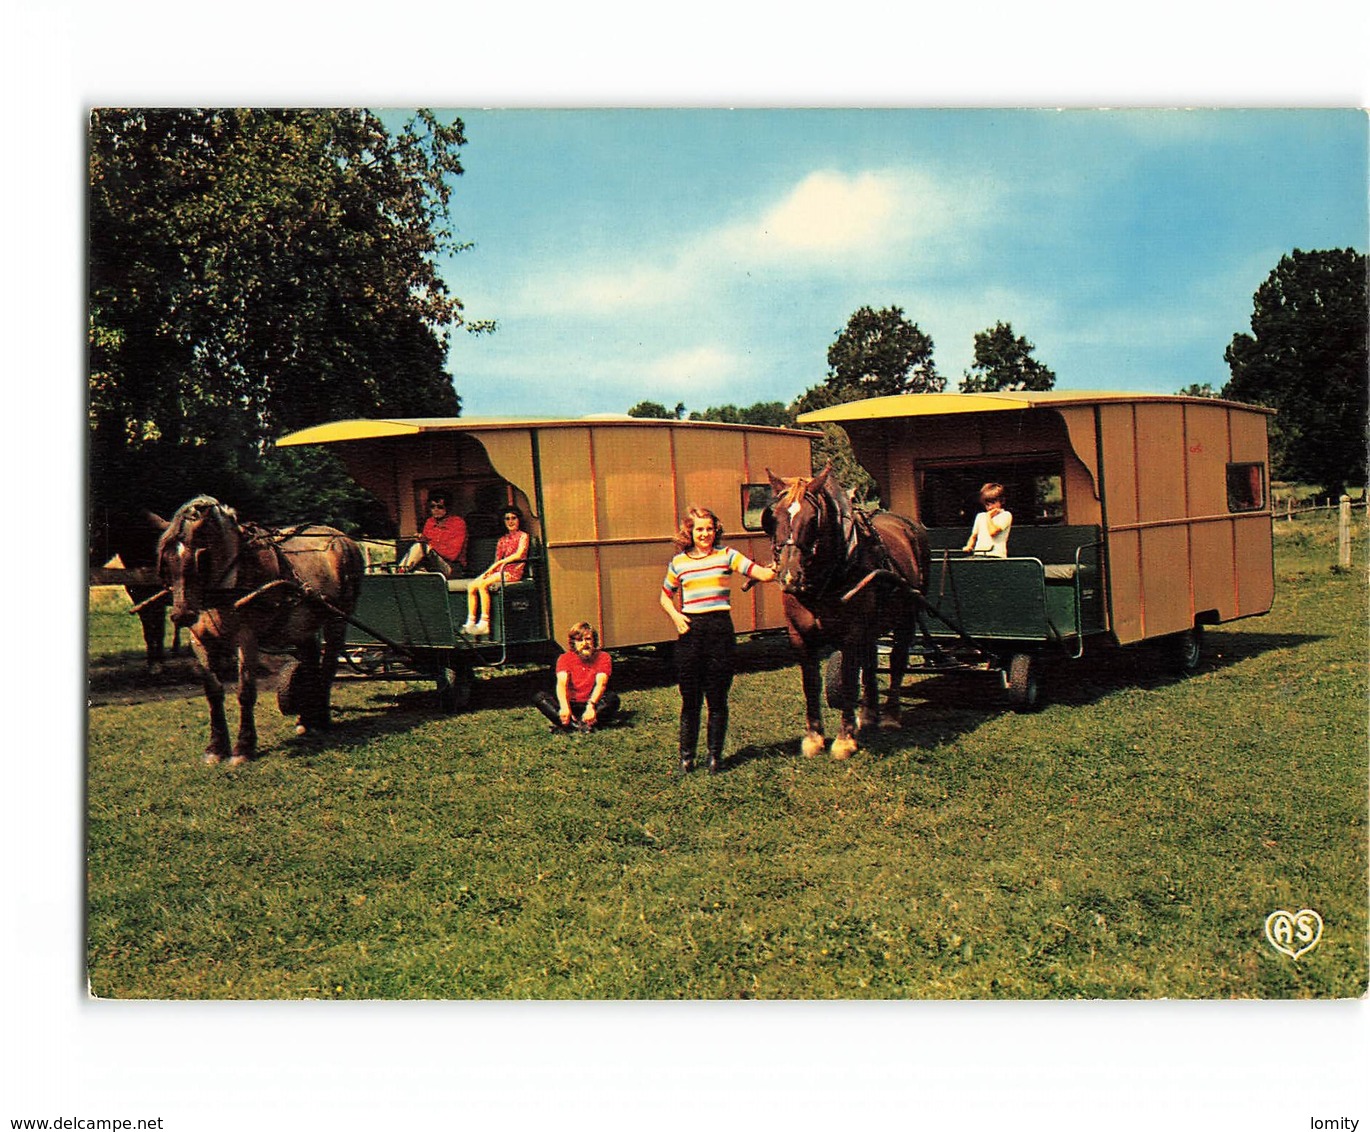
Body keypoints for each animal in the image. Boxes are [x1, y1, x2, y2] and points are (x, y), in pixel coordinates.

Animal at [155, 498, 364, 761]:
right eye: (166, 560)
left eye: (201, 557)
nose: (182, 614)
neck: (226, 587)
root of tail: (343, 538)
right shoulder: (200, 641)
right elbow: (213, 692)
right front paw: (216, 748)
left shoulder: (247, 639)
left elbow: (245, 692)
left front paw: (244, 748)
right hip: (304, 624)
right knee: (310, 663)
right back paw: (306, 719)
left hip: (337, 619)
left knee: (328, 667)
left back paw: (323, 718)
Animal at [761, 457, 931, 756]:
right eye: (774, 517)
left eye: (813, 519)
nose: (790, 577)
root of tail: (908, 524)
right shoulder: (799, 636)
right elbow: (811, 683)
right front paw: (814, 738)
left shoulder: (850, 634)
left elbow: (849, 680)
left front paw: (844, 740)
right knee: (871, 662)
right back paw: (869, 713)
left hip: (906, 619)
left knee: (897, 661)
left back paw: (890, 715)